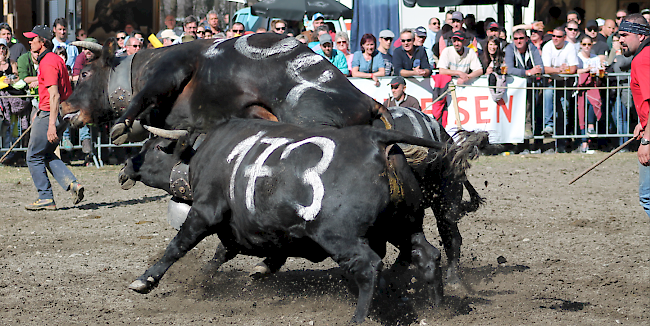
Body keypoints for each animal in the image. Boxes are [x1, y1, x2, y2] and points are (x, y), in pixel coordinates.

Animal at [124, 119, 480, 324]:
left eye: (155, 147)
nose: (126, 166)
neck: (206, 153)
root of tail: (377, 139)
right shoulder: (238, 228)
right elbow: (221, 254)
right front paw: (204, 281)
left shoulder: (205, 211)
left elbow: (178, 245)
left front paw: (146, 280)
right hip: (403, 225)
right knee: (427, 256)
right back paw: (437, 309)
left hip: (340, 234)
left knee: (369, 267)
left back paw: (359, 318)